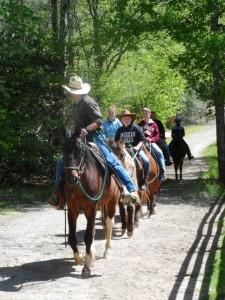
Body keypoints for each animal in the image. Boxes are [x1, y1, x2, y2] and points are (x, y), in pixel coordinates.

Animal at [63, 137, 121, 276]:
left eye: (80, 151)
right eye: (63, 149)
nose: (72, 178)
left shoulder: (92, 208)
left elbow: (88, 236)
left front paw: (87, 266)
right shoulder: (72, 210)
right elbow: (72, 237)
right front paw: (80, 258)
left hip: (111, 202)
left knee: (109, 223)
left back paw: (107, 252)